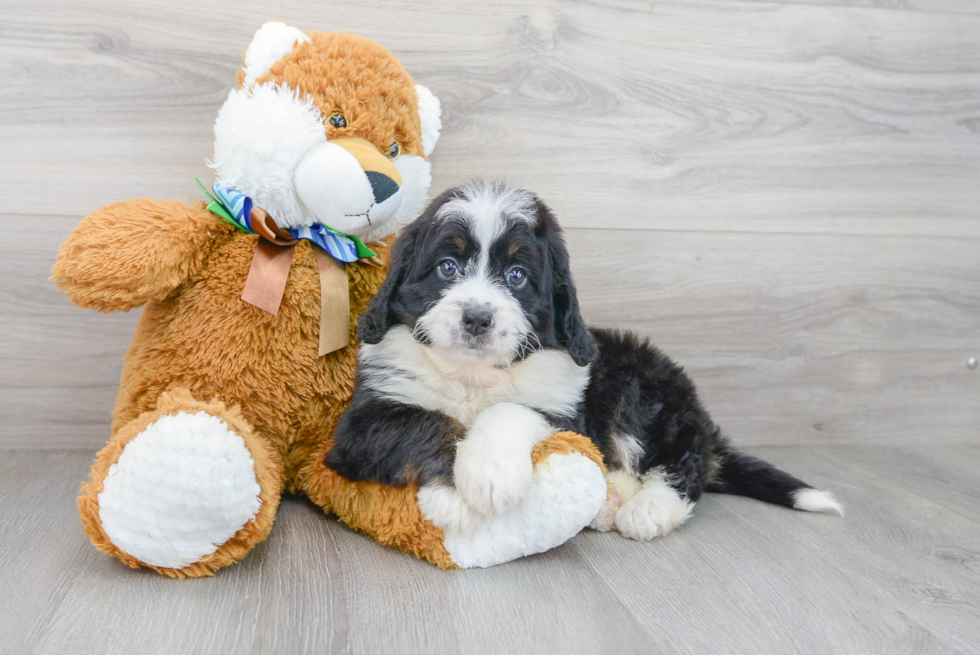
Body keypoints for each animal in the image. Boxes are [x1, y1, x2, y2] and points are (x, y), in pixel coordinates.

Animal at [328, 182, 844, 540]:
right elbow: (430, 422)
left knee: (686, 459)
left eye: (517, 276)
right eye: (447, 267)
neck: (474, 375)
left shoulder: (562, 408)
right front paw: (455, 497)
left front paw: (488, 474)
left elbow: (508, 410)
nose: (476, 318)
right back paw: (607, 503)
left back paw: (649, 508)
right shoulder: (362, 423)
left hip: (643, 387)